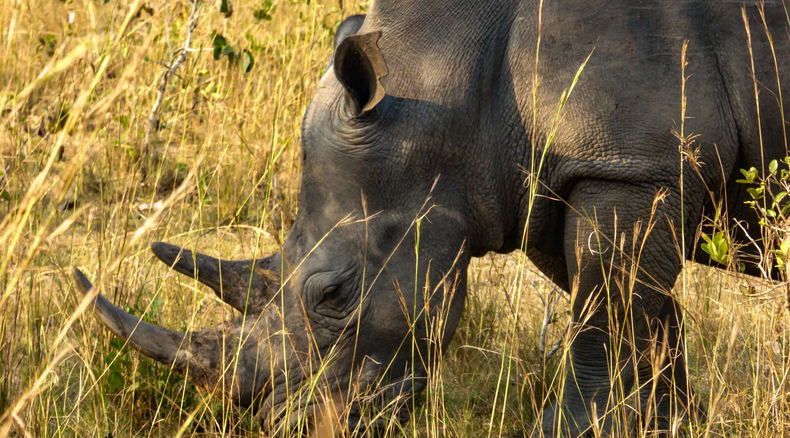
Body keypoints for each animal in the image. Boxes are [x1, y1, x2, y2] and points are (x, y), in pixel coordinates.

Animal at [73, 0, 789, 436]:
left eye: (334, 295)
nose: (293, 424)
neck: (450, 92)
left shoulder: (633, 165)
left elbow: (603, 313)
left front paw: (573, 430)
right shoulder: (554, 180)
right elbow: (641, 313)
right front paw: (671, 423)